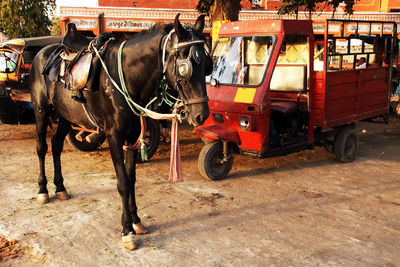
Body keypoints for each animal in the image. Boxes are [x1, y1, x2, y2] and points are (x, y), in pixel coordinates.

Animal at [29, 14, 211, 250]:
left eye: (207, 64)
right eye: (184, 67)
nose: (201, 115)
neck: (124, 75)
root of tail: (42, 53)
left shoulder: (133, 135)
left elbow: (131, 178)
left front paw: (136, 221)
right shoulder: (113, 135)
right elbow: (123, 182)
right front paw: (127, 230)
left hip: (66, 116)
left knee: (57, 145)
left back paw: (60, 187)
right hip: (41, 111)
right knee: (42, 148)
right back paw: (43, 190)